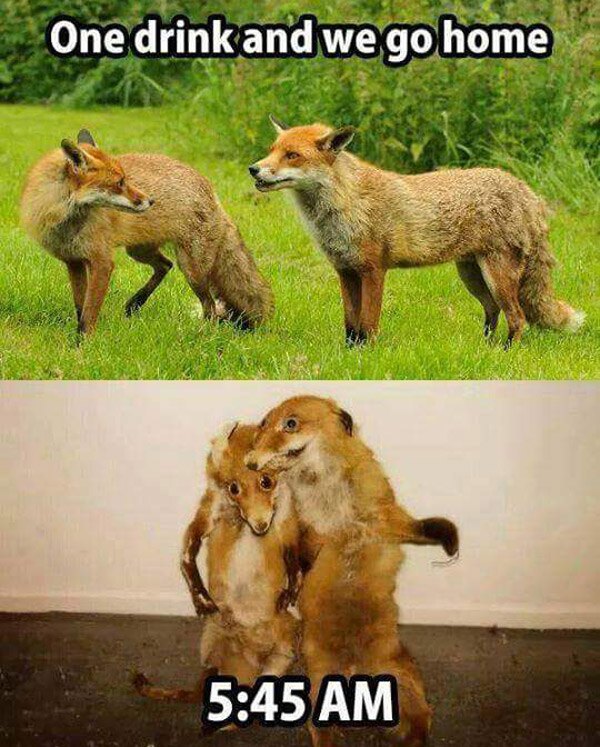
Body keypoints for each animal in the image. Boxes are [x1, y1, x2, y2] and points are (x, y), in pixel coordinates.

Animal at [21, 129, 273, 336]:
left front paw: (83, 345)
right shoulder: (73, 261)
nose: (150, 201)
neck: (65, 218)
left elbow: (89, 313)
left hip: (192, 269)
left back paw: (203, 335)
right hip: (138, 251)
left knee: (209, 306)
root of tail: (210, 189)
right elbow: (80, 307)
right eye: (120, 183)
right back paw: (136, 303)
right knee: (165, 265)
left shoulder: (102, 262)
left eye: (125, 179)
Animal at [133, 422, 301, 735]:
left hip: (282, 654)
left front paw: (289, 592)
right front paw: (201, 599)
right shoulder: (206, 515)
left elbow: (294, 563)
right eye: (234, 488)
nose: (260, 524)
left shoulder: (288, 527)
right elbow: (187, 556)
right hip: (213, 649)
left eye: (266, 481)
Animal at [246, 395, 460, 747]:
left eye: (290, 423)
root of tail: (354, 674)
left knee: (418, 729)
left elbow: (423, 527)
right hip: (321, 691)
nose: (251, 462)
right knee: (325, 734)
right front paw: (292, 587)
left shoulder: (385, 519)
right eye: (263, 425)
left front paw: (449, 540)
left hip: (405, 685)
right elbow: (300, 561)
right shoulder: (312, 536)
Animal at [249, 116, 584, 348]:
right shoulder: (345, 271)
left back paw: (505, 352)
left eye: (292, 155)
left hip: (497, 275)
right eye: (272, 151)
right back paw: (485, 348)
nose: (253, 169)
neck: (343, 206)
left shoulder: (373, 270)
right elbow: (350, 325)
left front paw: (366, 356)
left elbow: (368, 323)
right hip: (473, 276)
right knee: (493, 312)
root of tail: (527, 190)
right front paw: (349, 353)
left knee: (519, 318)